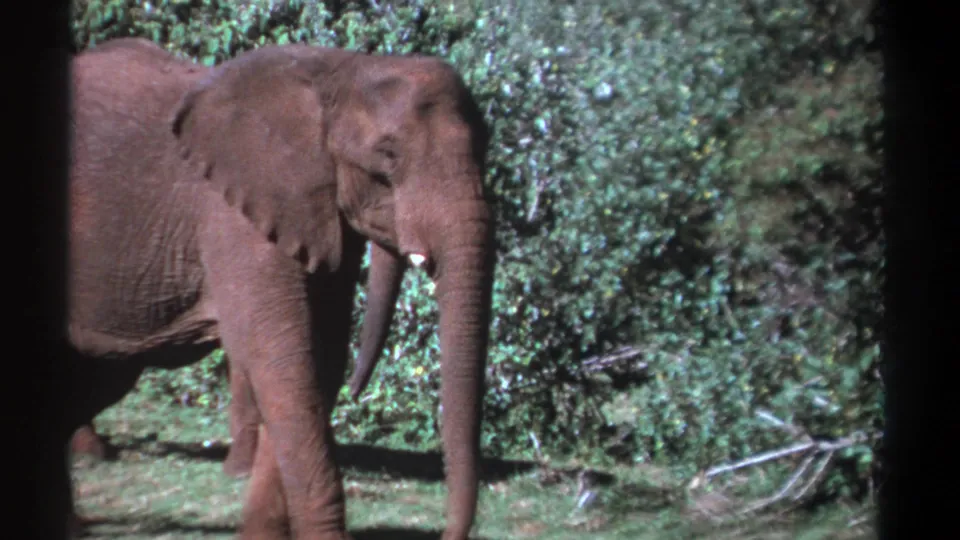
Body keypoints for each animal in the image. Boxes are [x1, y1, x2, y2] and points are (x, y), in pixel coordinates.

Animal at [66, 36, 495, 540]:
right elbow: (282, 360)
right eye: (387, 157)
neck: (339, 72)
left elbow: (318, 360)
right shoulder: (232, 213)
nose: (447, 532)